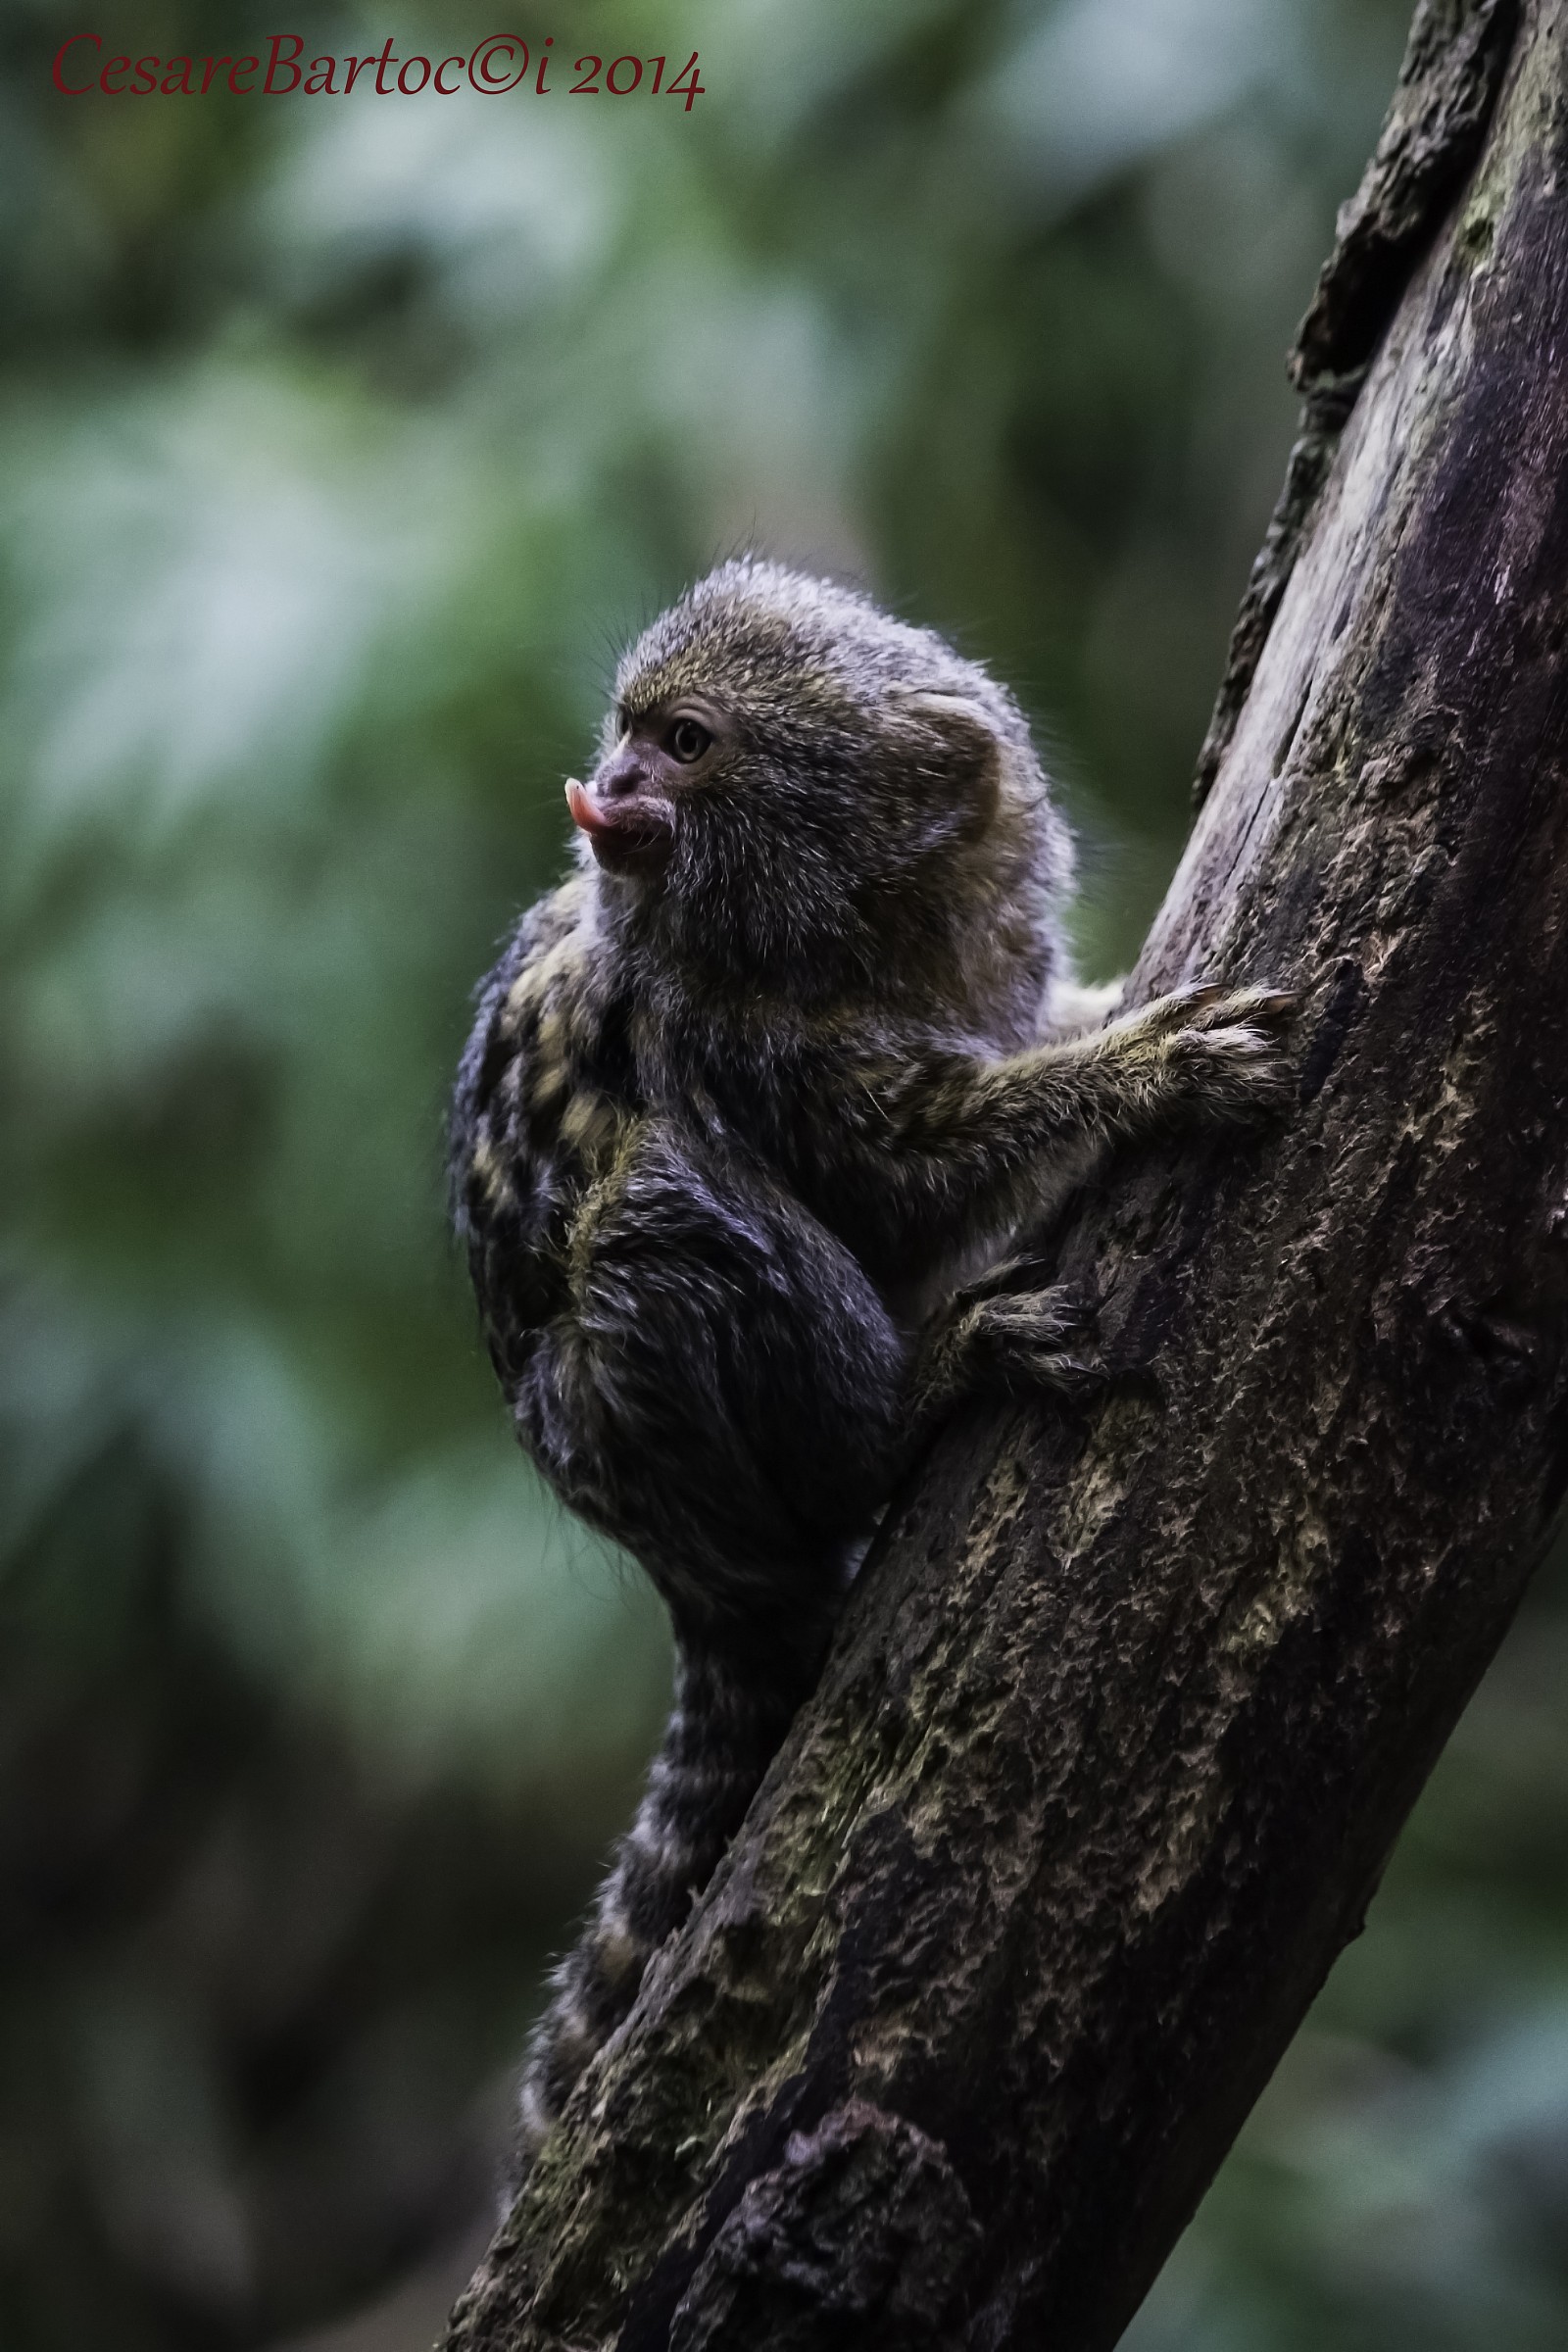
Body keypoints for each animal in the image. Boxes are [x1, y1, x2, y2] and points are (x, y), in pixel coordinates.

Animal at [448, 558, 1292, 2188]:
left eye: (684, 742)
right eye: (634, 735)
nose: (612, 789)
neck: (852, 943)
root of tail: (691, 1578)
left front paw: (1101, 1024)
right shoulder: (735, 1043)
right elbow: (908, 1180)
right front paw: (1148, 1070)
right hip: (653, 1436)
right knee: (661, 1217)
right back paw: (913, 1406)